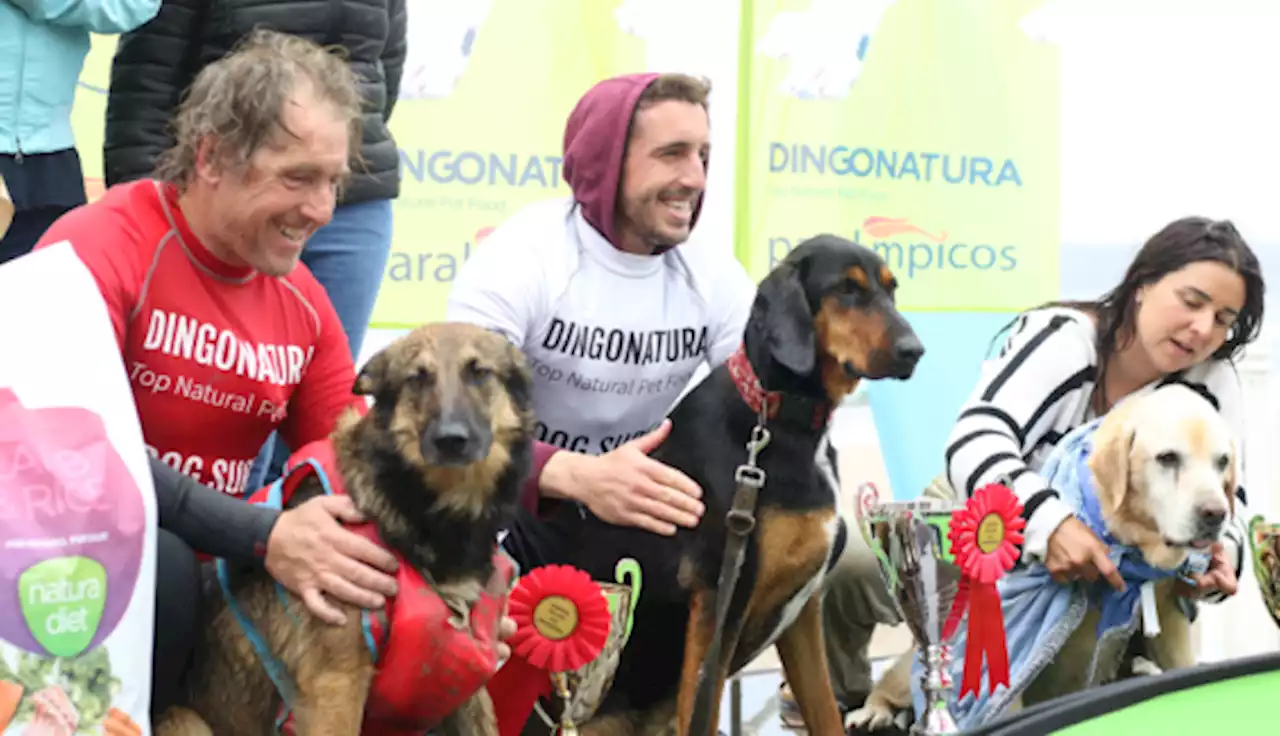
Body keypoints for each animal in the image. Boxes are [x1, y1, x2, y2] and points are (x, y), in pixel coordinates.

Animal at [154, 323, 535, 736]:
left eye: (479, 372)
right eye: (417, 378)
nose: (451, 440)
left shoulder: (466, 682)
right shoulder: (335, 683)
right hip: (185, 719)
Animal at [535, 238, 926, 736]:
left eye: (891, 290)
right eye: (847, 289)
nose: (915, 350)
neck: (780, 417)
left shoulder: (803, 608)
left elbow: (824, 712)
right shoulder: (719, 600)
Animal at [849, 386, 1239, 732]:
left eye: (1222, 462)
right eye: (1167, 457)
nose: (1215, 514)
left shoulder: (1168, 620)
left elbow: (1183, 668)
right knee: (894, 682)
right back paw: (873, 712)